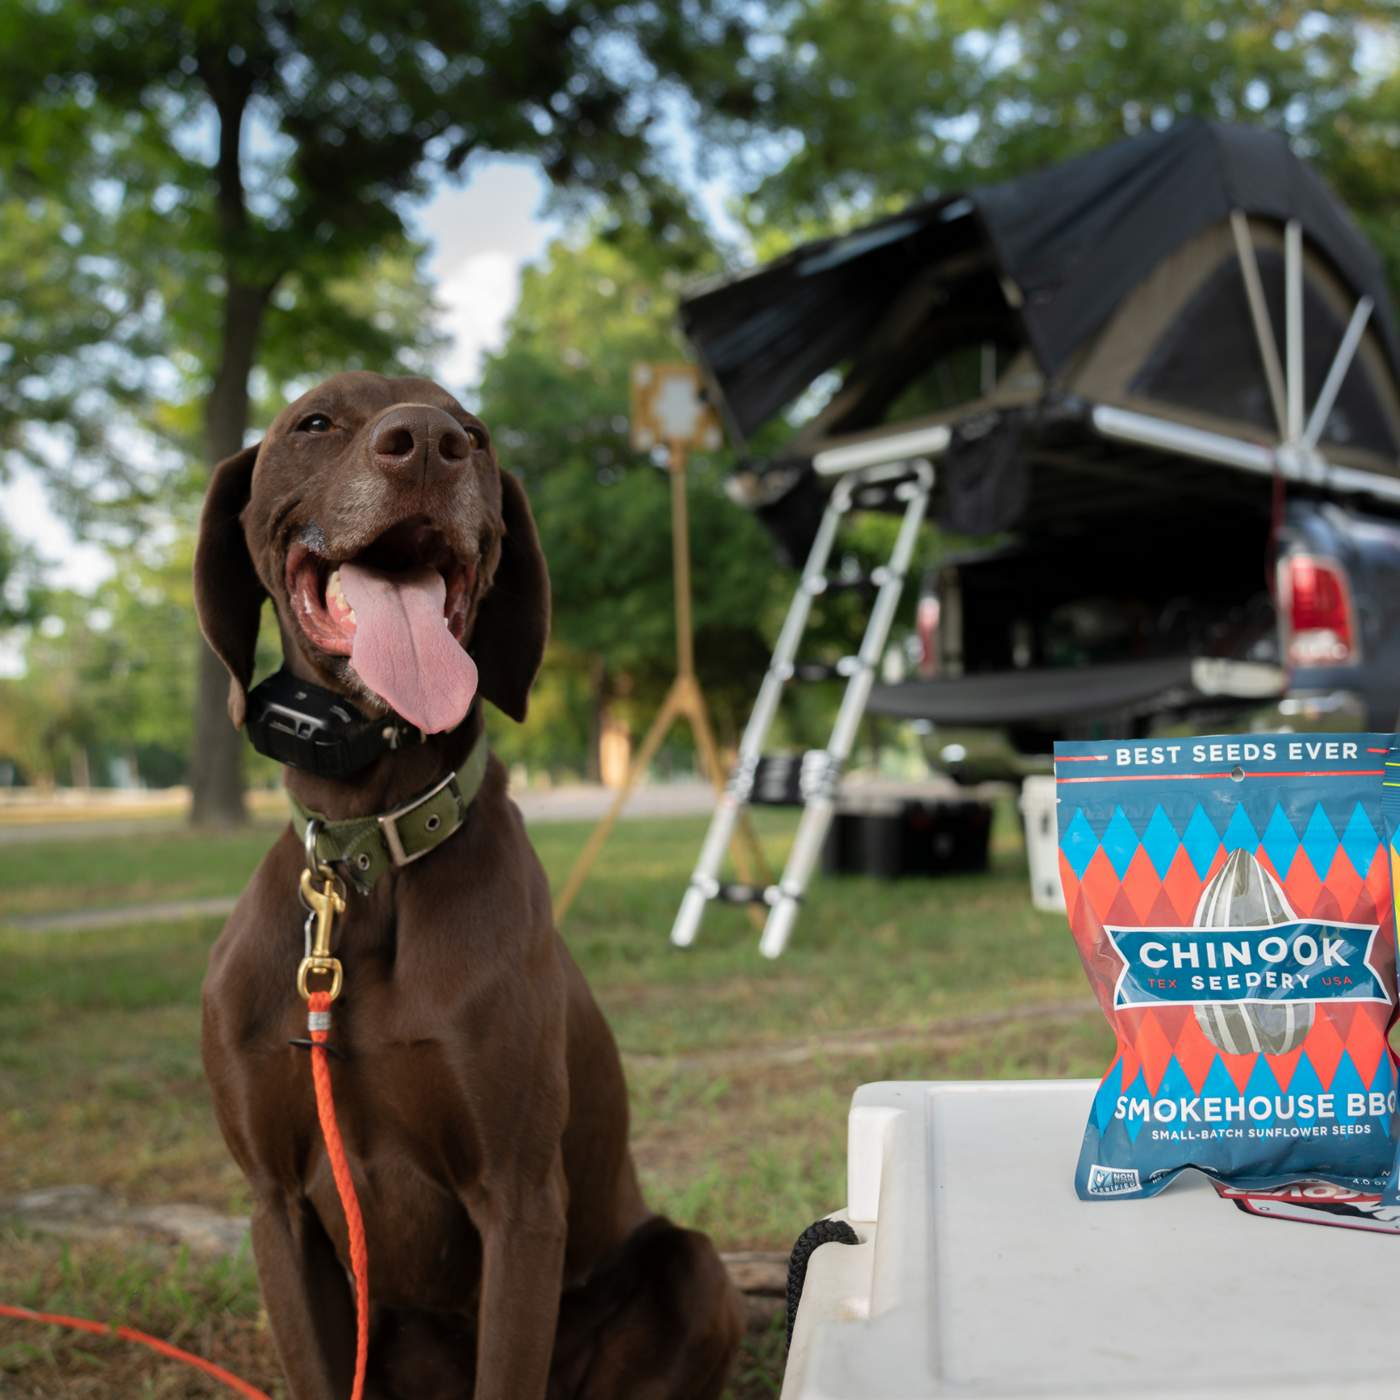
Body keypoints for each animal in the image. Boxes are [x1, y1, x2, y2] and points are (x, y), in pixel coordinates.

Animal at [197, 375, 744, 1400]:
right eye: (315, 422)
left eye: (476, 435)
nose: (427, 444)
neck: (366, 860)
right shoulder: (275, 1207)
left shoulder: (519, 1195)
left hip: (690, 1267)